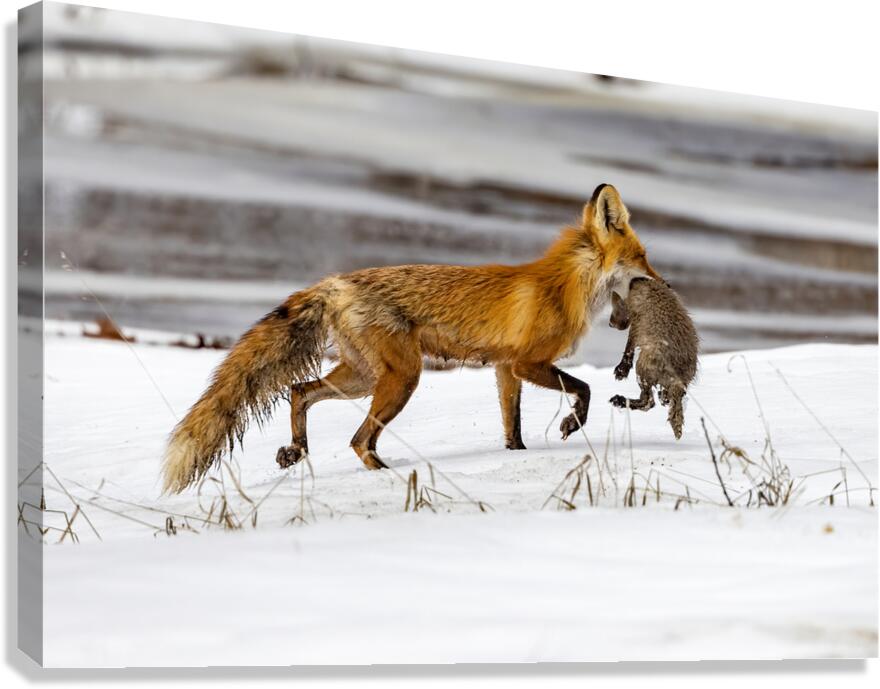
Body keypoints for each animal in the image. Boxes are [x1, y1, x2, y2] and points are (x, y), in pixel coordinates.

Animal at [162, 183, 662, 493]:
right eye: (643, 258)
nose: (664, 284)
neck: (565, 287)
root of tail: (333, 283)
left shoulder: (505, 369)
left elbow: (512, 427)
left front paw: (519, 454)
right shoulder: (527, 362)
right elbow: (585, 388)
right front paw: (571, 424)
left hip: (363, 377)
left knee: (299, 391)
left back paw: (297, 451)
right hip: (403, 378)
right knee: (358, 440)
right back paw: (387, 476)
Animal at [608, 277, 699, 439]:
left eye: (614, 306)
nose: (610, 323)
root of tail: (678, 379)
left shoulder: (637, 322)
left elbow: (629, 346)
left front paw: (621, 370)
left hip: (643, 366)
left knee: (648, 402)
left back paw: (619, 400)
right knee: (662, 399)